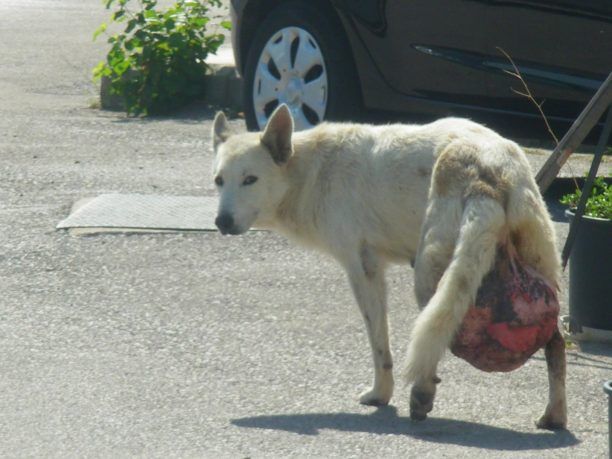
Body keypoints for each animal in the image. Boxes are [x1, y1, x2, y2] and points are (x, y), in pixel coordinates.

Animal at [212, 105, 568, 432]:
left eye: (250, 180)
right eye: (218, 181)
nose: (221, 222)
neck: (310, 171)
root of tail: (489, 173)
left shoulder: (363, 272)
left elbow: (379, 346)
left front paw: (380, 396)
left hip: (427, 279)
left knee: (435, 339)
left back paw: (422, 394)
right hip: (539, 270)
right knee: (557, 344)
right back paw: (554, 417)